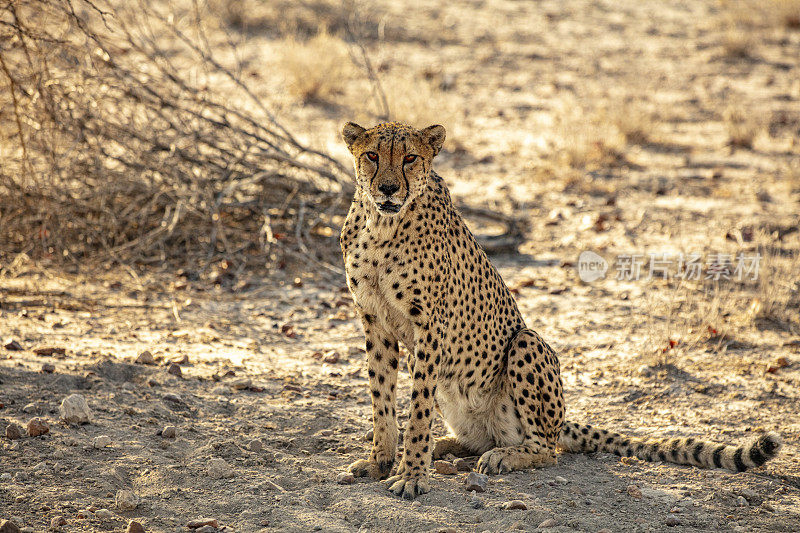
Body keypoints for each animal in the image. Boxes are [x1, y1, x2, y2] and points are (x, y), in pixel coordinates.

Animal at [338, 120, 780, 498]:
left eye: (410, 157)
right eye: (372, 155)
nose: (388, 188)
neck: (381, 226)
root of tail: (561, 420)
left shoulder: (430, 327)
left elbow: (415, 412)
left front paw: (411, 474)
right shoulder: (374, 322)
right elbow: (381, 399)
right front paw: (380, 462)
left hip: (527, 343)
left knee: (546, 449)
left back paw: (499, 456)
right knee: (475, 434)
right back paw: (447, 444)